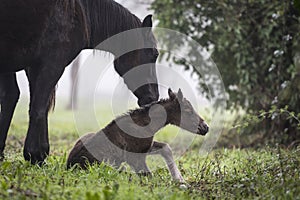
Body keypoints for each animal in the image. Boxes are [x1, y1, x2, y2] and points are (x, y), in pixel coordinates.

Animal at [0, 0, 159, 164]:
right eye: (155, 54)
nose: (154, 97)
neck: (80, 13)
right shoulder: (52, 63)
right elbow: (38, 107)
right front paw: (35, 154)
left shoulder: (25, 66)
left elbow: (16, 99)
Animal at [67, 88, 209, 182]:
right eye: (188, 110)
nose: (205, 127)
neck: (145, 125)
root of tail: (69, 165)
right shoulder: (134, 158)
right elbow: (149, 177)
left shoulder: (146, 148)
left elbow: (166, 148)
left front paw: (180, 181)